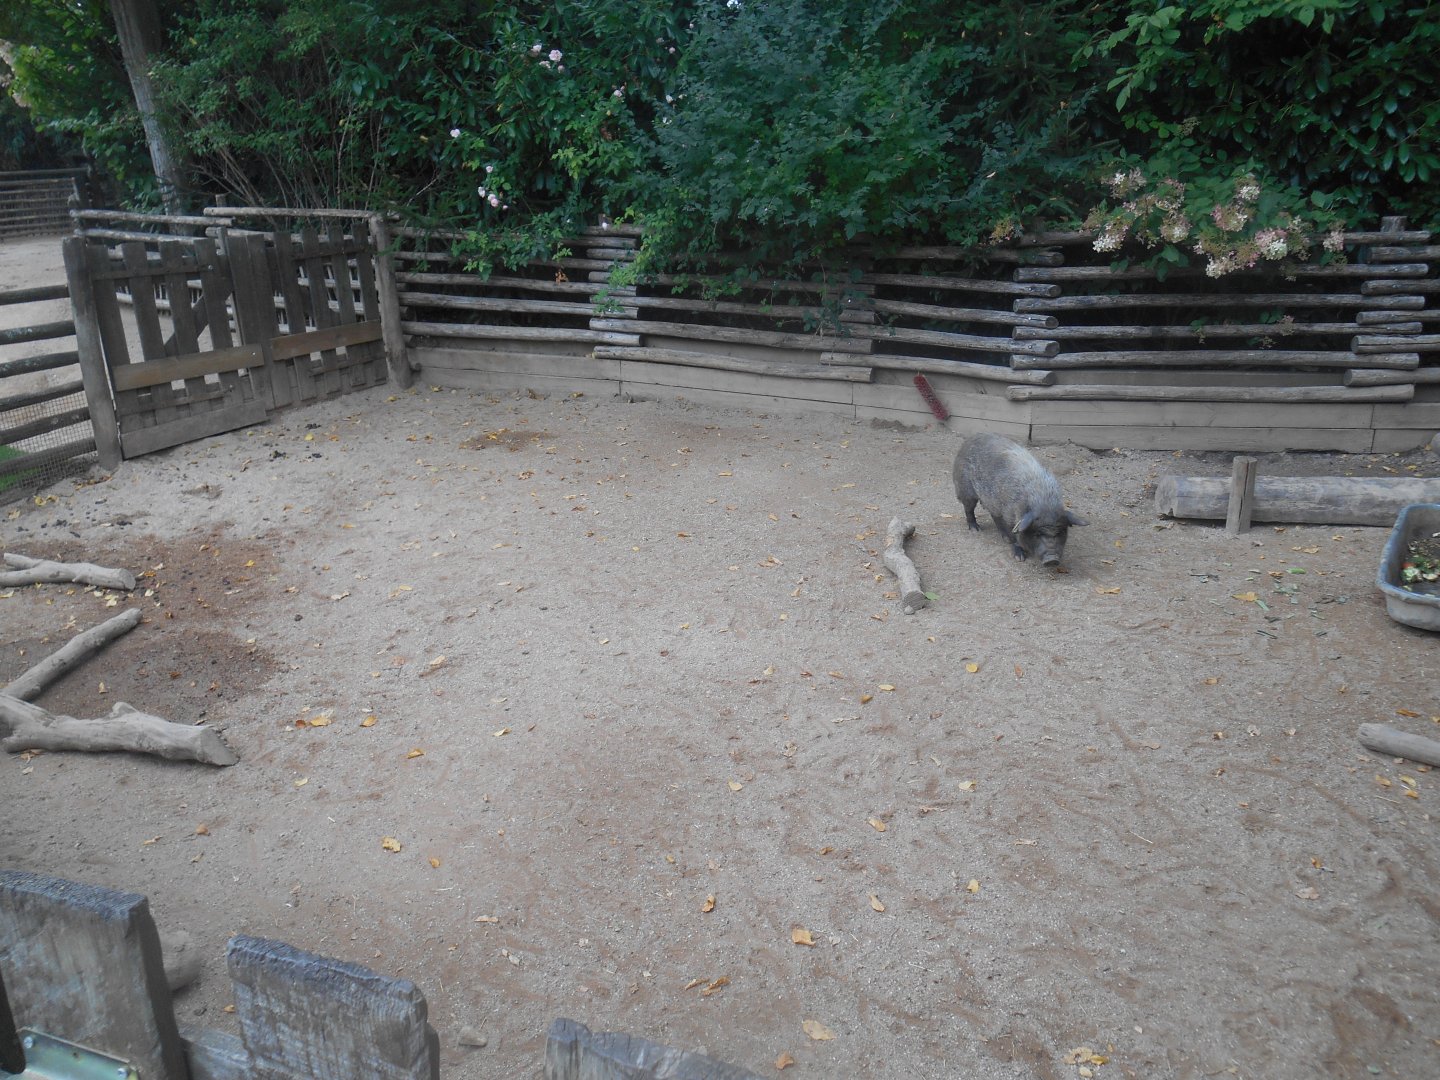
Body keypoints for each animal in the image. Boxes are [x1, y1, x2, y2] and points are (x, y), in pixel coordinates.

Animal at [952, 433, 1087, 568]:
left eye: (1060, 532)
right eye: (1037, 533)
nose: (1052, 559)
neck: (1043, 501)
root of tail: (969, 440)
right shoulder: (1009, 516)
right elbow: (1014, 536)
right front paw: (1020, 558)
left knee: (993, 514)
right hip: (965, 489)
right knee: (968, 509)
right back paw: (976, 530)